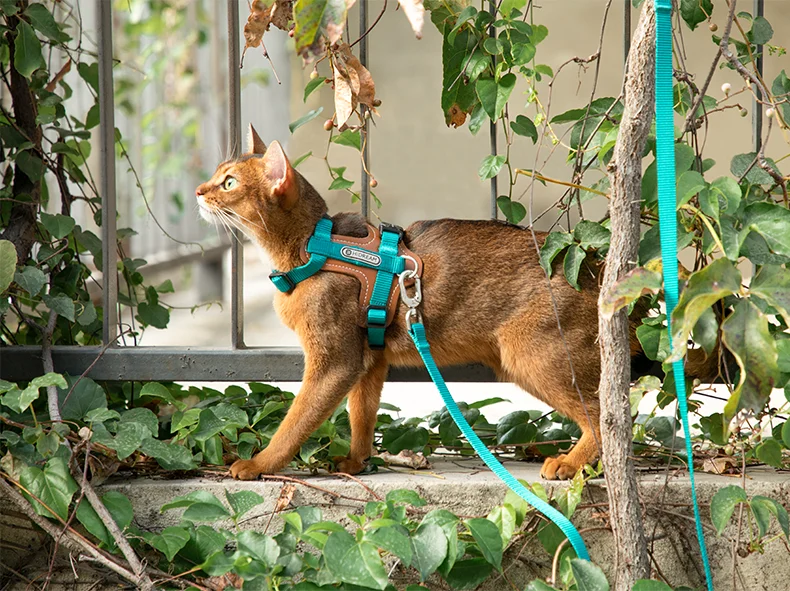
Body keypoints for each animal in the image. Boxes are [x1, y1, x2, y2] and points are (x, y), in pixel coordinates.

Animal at [195, 125, 716, 480]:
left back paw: (569, 462)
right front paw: (356, 460)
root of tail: (599, 267)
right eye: (216, 177)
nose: (199, 191)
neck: (312, 247)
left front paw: (259, 463)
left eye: (228, 183)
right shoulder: (370, 359)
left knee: (610, 413)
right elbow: (361, 414)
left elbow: (297, 419)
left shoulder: (334, 361)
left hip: (531, 355)